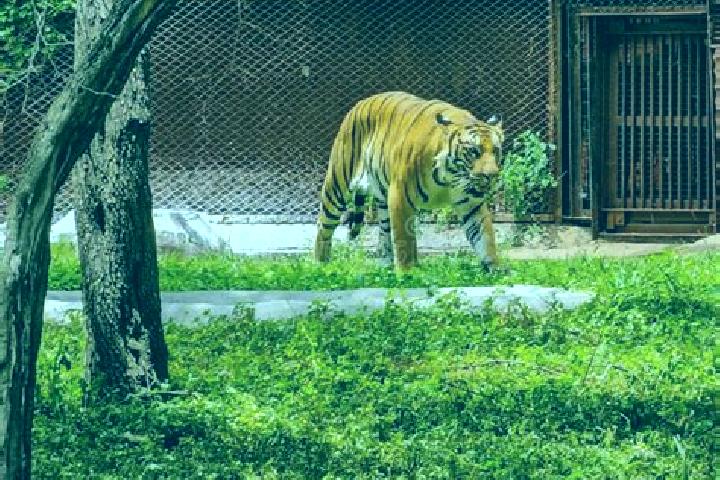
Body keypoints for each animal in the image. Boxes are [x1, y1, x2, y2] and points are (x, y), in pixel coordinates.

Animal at [314, 91, 504, 272]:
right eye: (473, 151)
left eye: (495, 151)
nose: (492, 175)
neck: (451, 176)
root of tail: (359, 104)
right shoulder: (400, 198)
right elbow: (403, 240)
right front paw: (406, 273)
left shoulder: (471, 203)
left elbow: (484, 236)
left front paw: (495, 269)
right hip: (337, 185)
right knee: (324, 226)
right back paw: (321, 265)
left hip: (382, 198)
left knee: (384, 232)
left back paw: (386, 265)